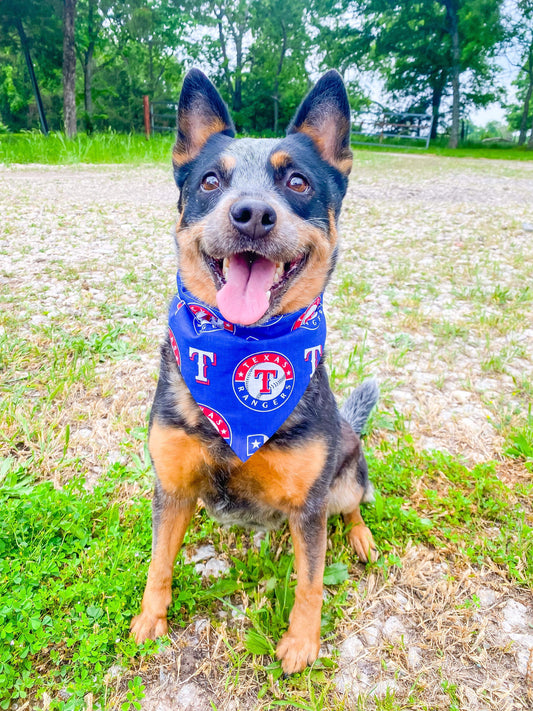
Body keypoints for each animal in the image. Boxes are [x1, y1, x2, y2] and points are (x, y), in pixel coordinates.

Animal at [132, 69, 378, 676]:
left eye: (297, 182)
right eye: (210, 180)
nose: (252, 215)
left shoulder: (309, 507)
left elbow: (310, 581)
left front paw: (302, 644)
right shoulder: (171, 487)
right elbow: (158, 562)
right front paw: (151, 619)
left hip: (345, 477)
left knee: (355, 505)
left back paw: (361, 537)